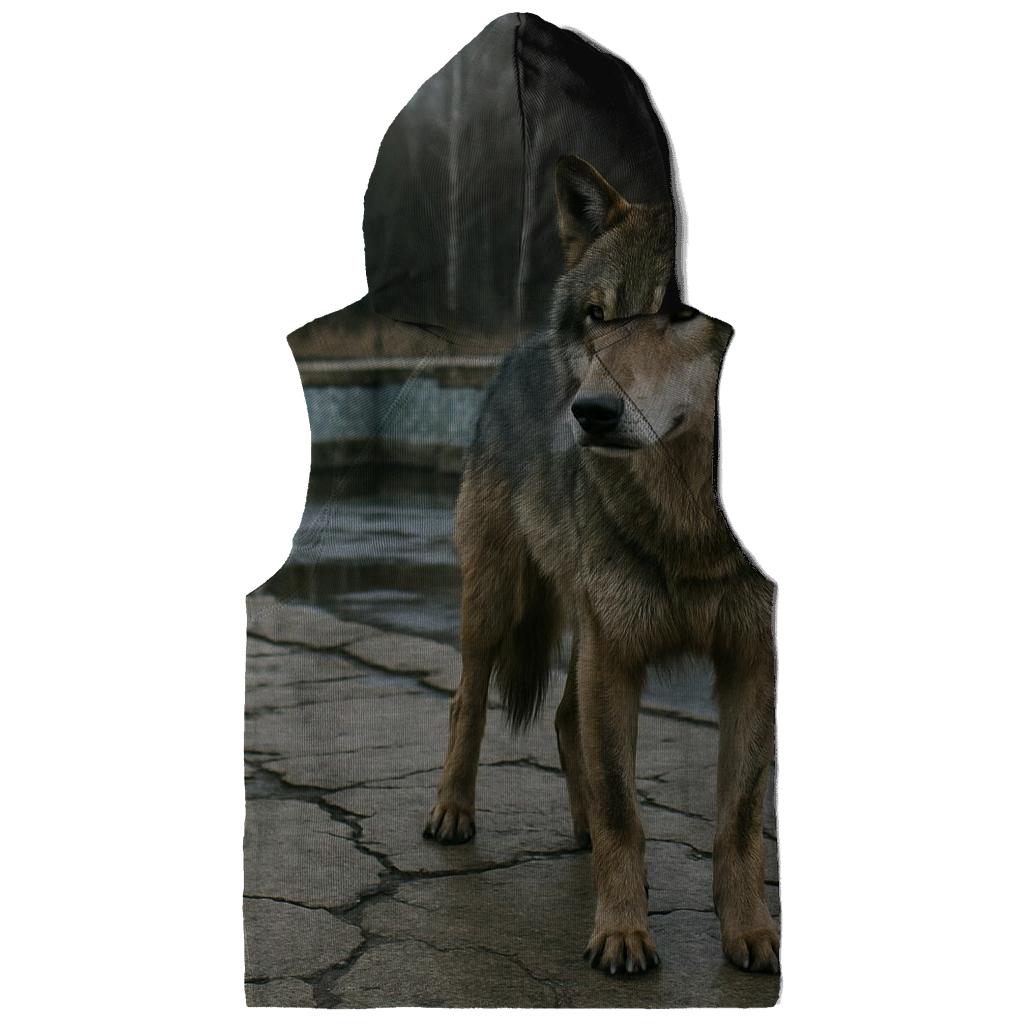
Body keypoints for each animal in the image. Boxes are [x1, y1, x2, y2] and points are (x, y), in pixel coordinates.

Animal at [423, 155, 780, 977]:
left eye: (684, 313)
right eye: (597, 316)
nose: (589, 413)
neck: (691, 523)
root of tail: (514, 351)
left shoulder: (752, 658)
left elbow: (740, 815)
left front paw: (749, 932)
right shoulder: (618, 657)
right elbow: (624, 806)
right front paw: (621, 933)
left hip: (582, 628)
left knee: (561, 720)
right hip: (498, 603)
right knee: (467, 702)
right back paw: (453, 812)